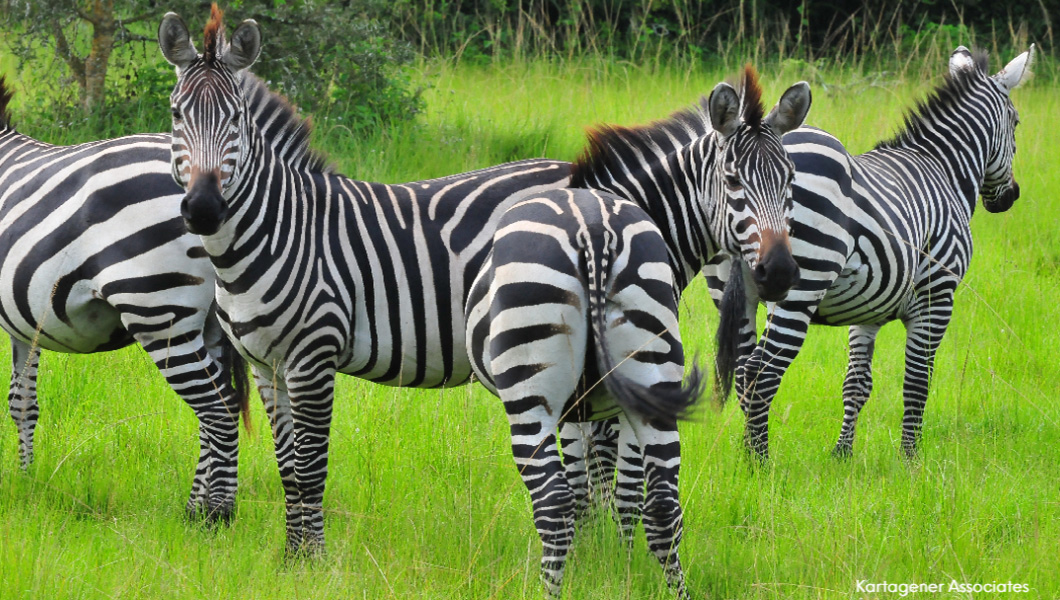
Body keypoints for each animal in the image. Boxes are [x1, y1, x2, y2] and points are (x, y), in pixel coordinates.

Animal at [0, 73, 251, 521]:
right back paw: (195, 509)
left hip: (158, 308)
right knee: (221, 404)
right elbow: (22, 401)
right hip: (211, 321)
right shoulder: (24, 322)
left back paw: (213, 517)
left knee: (218, 409)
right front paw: (25, 481)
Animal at [156, 7, 572, 555]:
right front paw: (291, 556)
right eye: (176, 114)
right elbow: (287, 468)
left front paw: (312, 558)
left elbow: (310, 468)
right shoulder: (267, 366)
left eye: (237, 119)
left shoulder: (313, 357)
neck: (280, 229)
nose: (203, 208)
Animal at [464, 71, 809, 597]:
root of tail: (593, 234)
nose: (781, 272)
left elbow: (590, 489)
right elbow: (613, 490)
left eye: (790, 180)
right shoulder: (605, 405)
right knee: (662, 504)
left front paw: (599, 559)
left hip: (534, 394)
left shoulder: (584, 409)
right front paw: (611, 562)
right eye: (732, 181)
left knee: (557, 504)